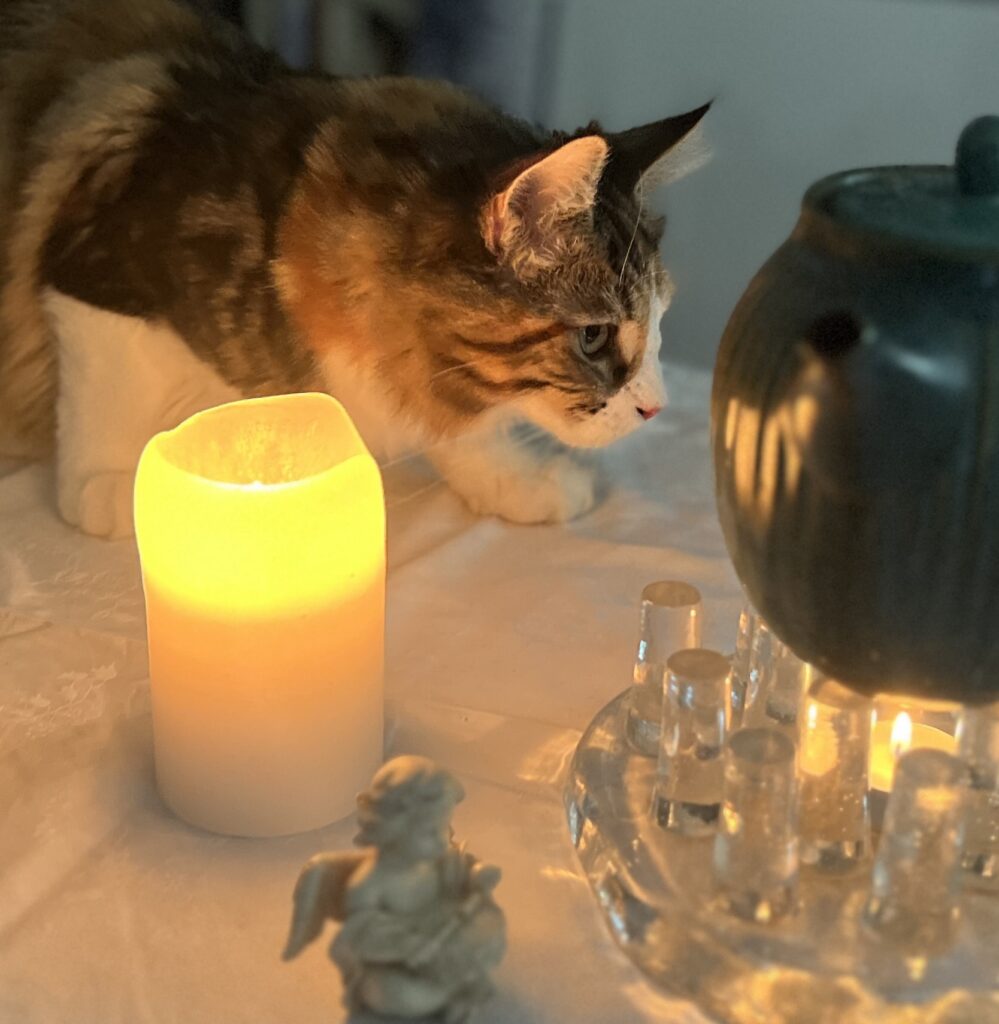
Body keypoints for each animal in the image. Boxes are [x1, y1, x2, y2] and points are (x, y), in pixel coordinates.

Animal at [0, 0, 709, 538]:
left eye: (661, 322)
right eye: (593, 337)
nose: (657, 407)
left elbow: (462, 429)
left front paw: (513, 481)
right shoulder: (95, 277)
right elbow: (103, 390)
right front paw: (110, 481)